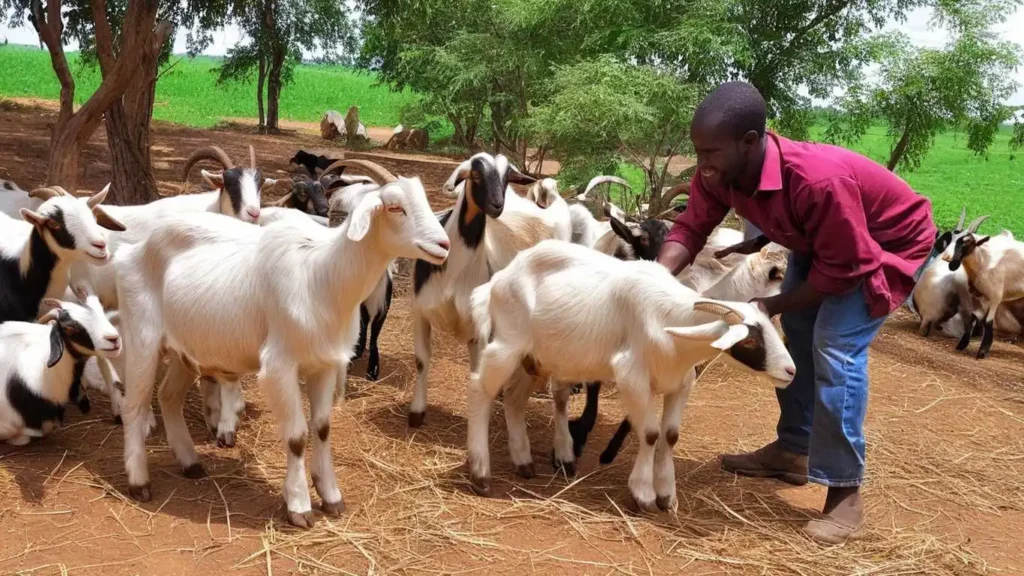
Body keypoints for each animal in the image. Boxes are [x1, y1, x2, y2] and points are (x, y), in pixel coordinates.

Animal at [114, 159, 450, 528]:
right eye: (394, 207)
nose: (443, 245)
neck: (321, 276)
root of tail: (130, 252)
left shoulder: (325, 364)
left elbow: (322, 429)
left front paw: (331, 495)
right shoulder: (280, 366)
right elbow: (297, 436)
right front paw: (299, 505)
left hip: (185, 349)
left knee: (168, 397)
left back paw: (191, 463)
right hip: (142, 337)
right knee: (135, 405)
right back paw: (139, 482)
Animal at [466, 240, 795, 510]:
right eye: (750, 341)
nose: (790, 370)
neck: (672, 322)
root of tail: (497, 281)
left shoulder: (681, 383)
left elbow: (670, 435)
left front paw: (667, 495)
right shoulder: (632, 376)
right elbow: (649, 433)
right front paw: (643, 494)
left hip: (535, 358)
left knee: (514, 398)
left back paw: (525, 461)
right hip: (508, 344)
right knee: (481, 390)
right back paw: (480, 474)